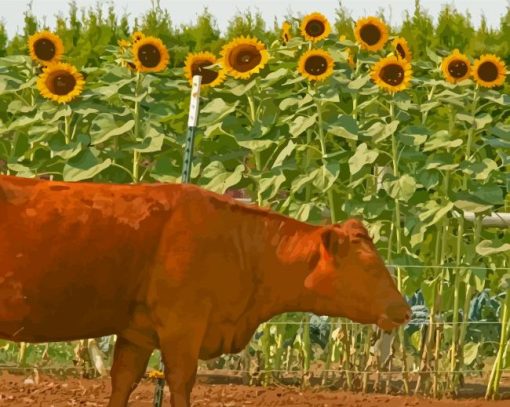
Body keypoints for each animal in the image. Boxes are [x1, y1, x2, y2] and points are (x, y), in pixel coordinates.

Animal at [0, 176, 408, 407]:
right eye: (370, 267)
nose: (404, 310)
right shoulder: (182, 327)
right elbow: (181, 384)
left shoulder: (137, 333)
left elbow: (123, 383)